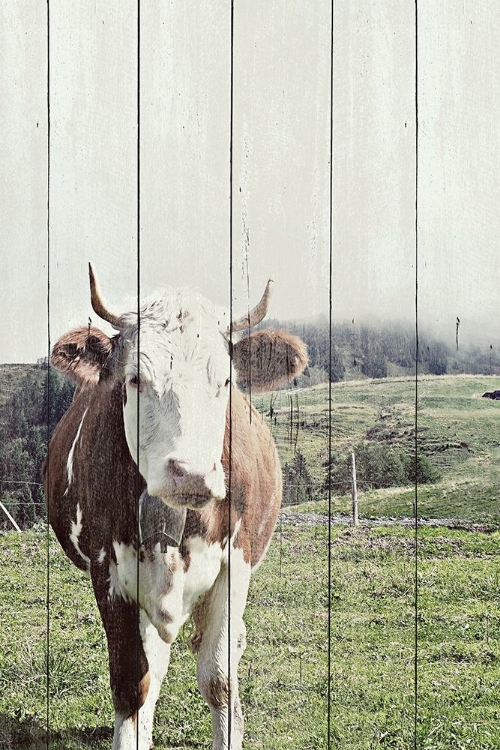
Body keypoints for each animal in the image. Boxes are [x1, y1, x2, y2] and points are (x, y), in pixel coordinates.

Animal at [43, 268, 306, 750]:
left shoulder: (234, 564)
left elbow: (219, 679)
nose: (190, 473)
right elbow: (132, 683)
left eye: (226, 381)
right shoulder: (109, 571)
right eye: (134, 379)